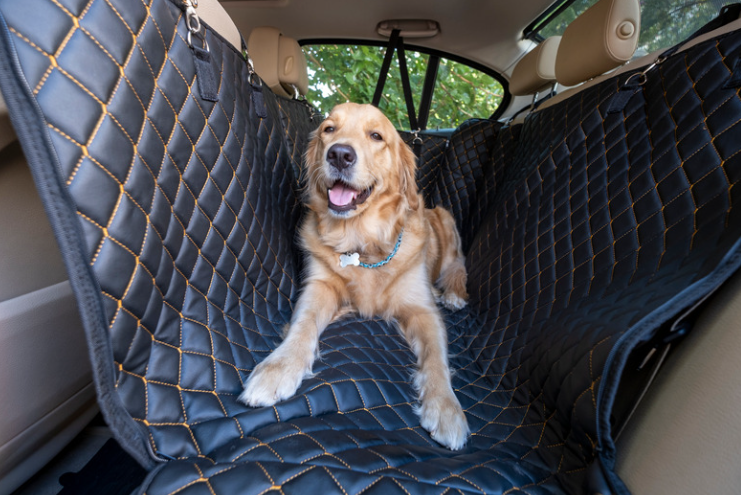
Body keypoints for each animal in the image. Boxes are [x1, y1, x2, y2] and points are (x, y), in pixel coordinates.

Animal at [238, 102, 468, 452]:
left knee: (458, 267)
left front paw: (446, 409)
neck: (361, 242)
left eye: (376, 136)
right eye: (329, 129)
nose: (339, 155)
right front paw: (278, 369)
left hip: (446, 221)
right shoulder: (319, 286)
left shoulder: (424, 311)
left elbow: (436, 359)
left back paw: (452, 293)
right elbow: (303, 325)